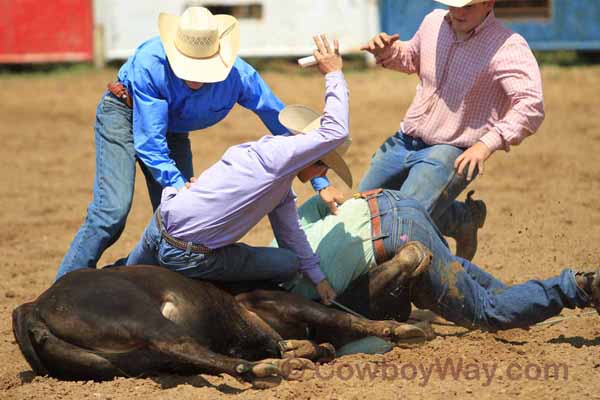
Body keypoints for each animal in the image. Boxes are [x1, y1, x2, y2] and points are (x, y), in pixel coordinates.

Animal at [10, 242, 432, 386]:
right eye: (400, 289)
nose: (416, 251)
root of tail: (35, 305)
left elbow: (318, 343)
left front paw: (300, 350)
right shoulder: (269, 301)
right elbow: (339, 318)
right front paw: (399, 330)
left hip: (120, 363)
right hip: (139, 317)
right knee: (178, 343)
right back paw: (268, 369)